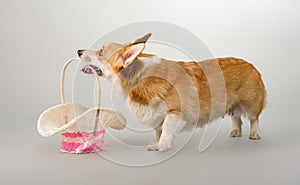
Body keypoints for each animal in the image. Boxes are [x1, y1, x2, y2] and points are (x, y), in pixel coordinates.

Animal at [78, 33, 266, 152]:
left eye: (100, 52)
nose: (78, 51)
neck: (138, 77)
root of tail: (251, 64)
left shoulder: (176, 111)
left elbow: (166, 128)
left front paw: (162, 146)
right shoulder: (155, 115)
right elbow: (158, 131)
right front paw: (155, 144)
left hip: (250, 103)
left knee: (253, 119)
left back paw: (255, 134)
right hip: (231, 104)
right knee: (236, 117)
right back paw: (235, 131)